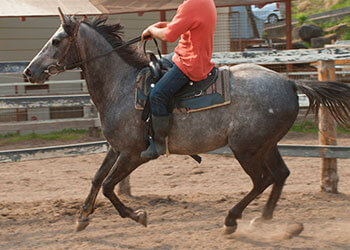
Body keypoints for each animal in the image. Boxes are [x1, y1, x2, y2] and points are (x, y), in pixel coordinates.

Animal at [23, 11, 350, 234]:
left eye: (56, 41)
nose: (29, 71)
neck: (122, 87)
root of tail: (290, 83)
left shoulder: (133, 153)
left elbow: (108, 186)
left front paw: (138, 215)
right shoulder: (116, 148)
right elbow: (96, 179)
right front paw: (82, 216)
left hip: (246, 148)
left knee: (263, 179)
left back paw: (232, 219)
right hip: (265, 145)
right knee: (281, 174)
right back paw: (263, 218)